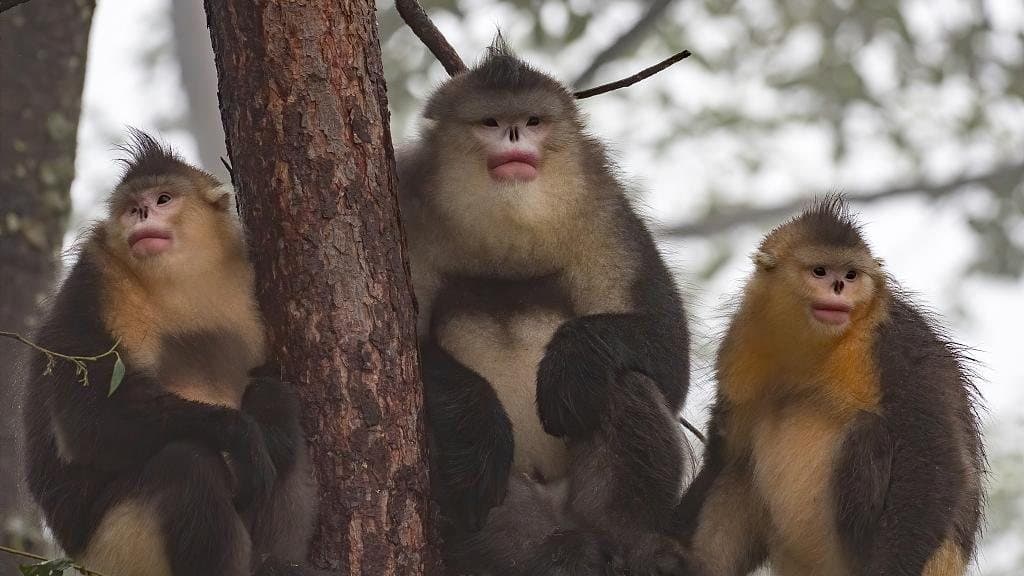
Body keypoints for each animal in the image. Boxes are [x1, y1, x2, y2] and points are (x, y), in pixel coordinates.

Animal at [21, 130, 320, 576]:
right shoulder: (94, 286)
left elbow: (268, 387)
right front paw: (241, 435)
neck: (177, 283)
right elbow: (87, 421)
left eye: (163, 199)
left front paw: (270, 422)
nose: (143, 213)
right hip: (118, 550)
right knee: (186, 461)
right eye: (132, 208)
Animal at [398, 39, 693, 574]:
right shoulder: (410, 214)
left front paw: (573, 358)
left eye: (532, 121)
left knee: (623, 380)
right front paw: (477, 424)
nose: (515, 135)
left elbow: (668, 358)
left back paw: (634, 543)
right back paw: (554, 552)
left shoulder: (606, 217)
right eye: (491, 122)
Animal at [672, 195, 985, 576]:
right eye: (820, 272)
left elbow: (933, 457)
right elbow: (726, 455)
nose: (838, 287)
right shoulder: (740, 344)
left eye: (850, 275)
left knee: (869, 431)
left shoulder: (894, 343)